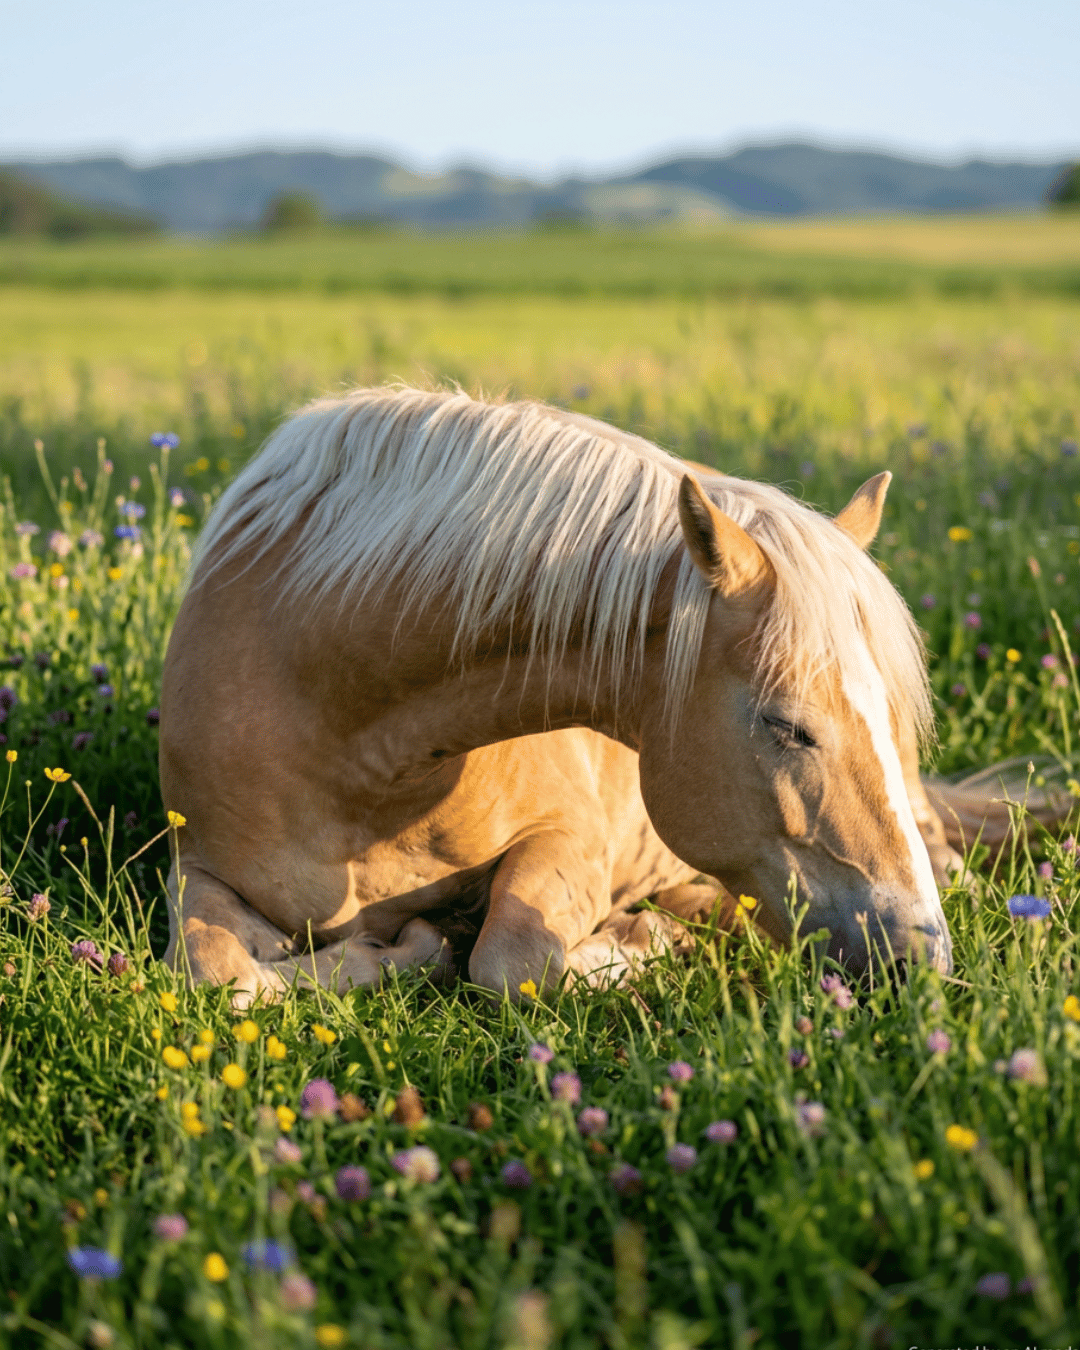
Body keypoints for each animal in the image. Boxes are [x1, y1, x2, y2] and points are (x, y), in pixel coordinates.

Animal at [160, 386, 955, 1005]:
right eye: (788, 726)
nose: (923, 955)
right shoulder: (194, 862)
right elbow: (215, 970)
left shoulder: (569, 839)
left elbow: (510, 961)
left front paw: (633, 939)